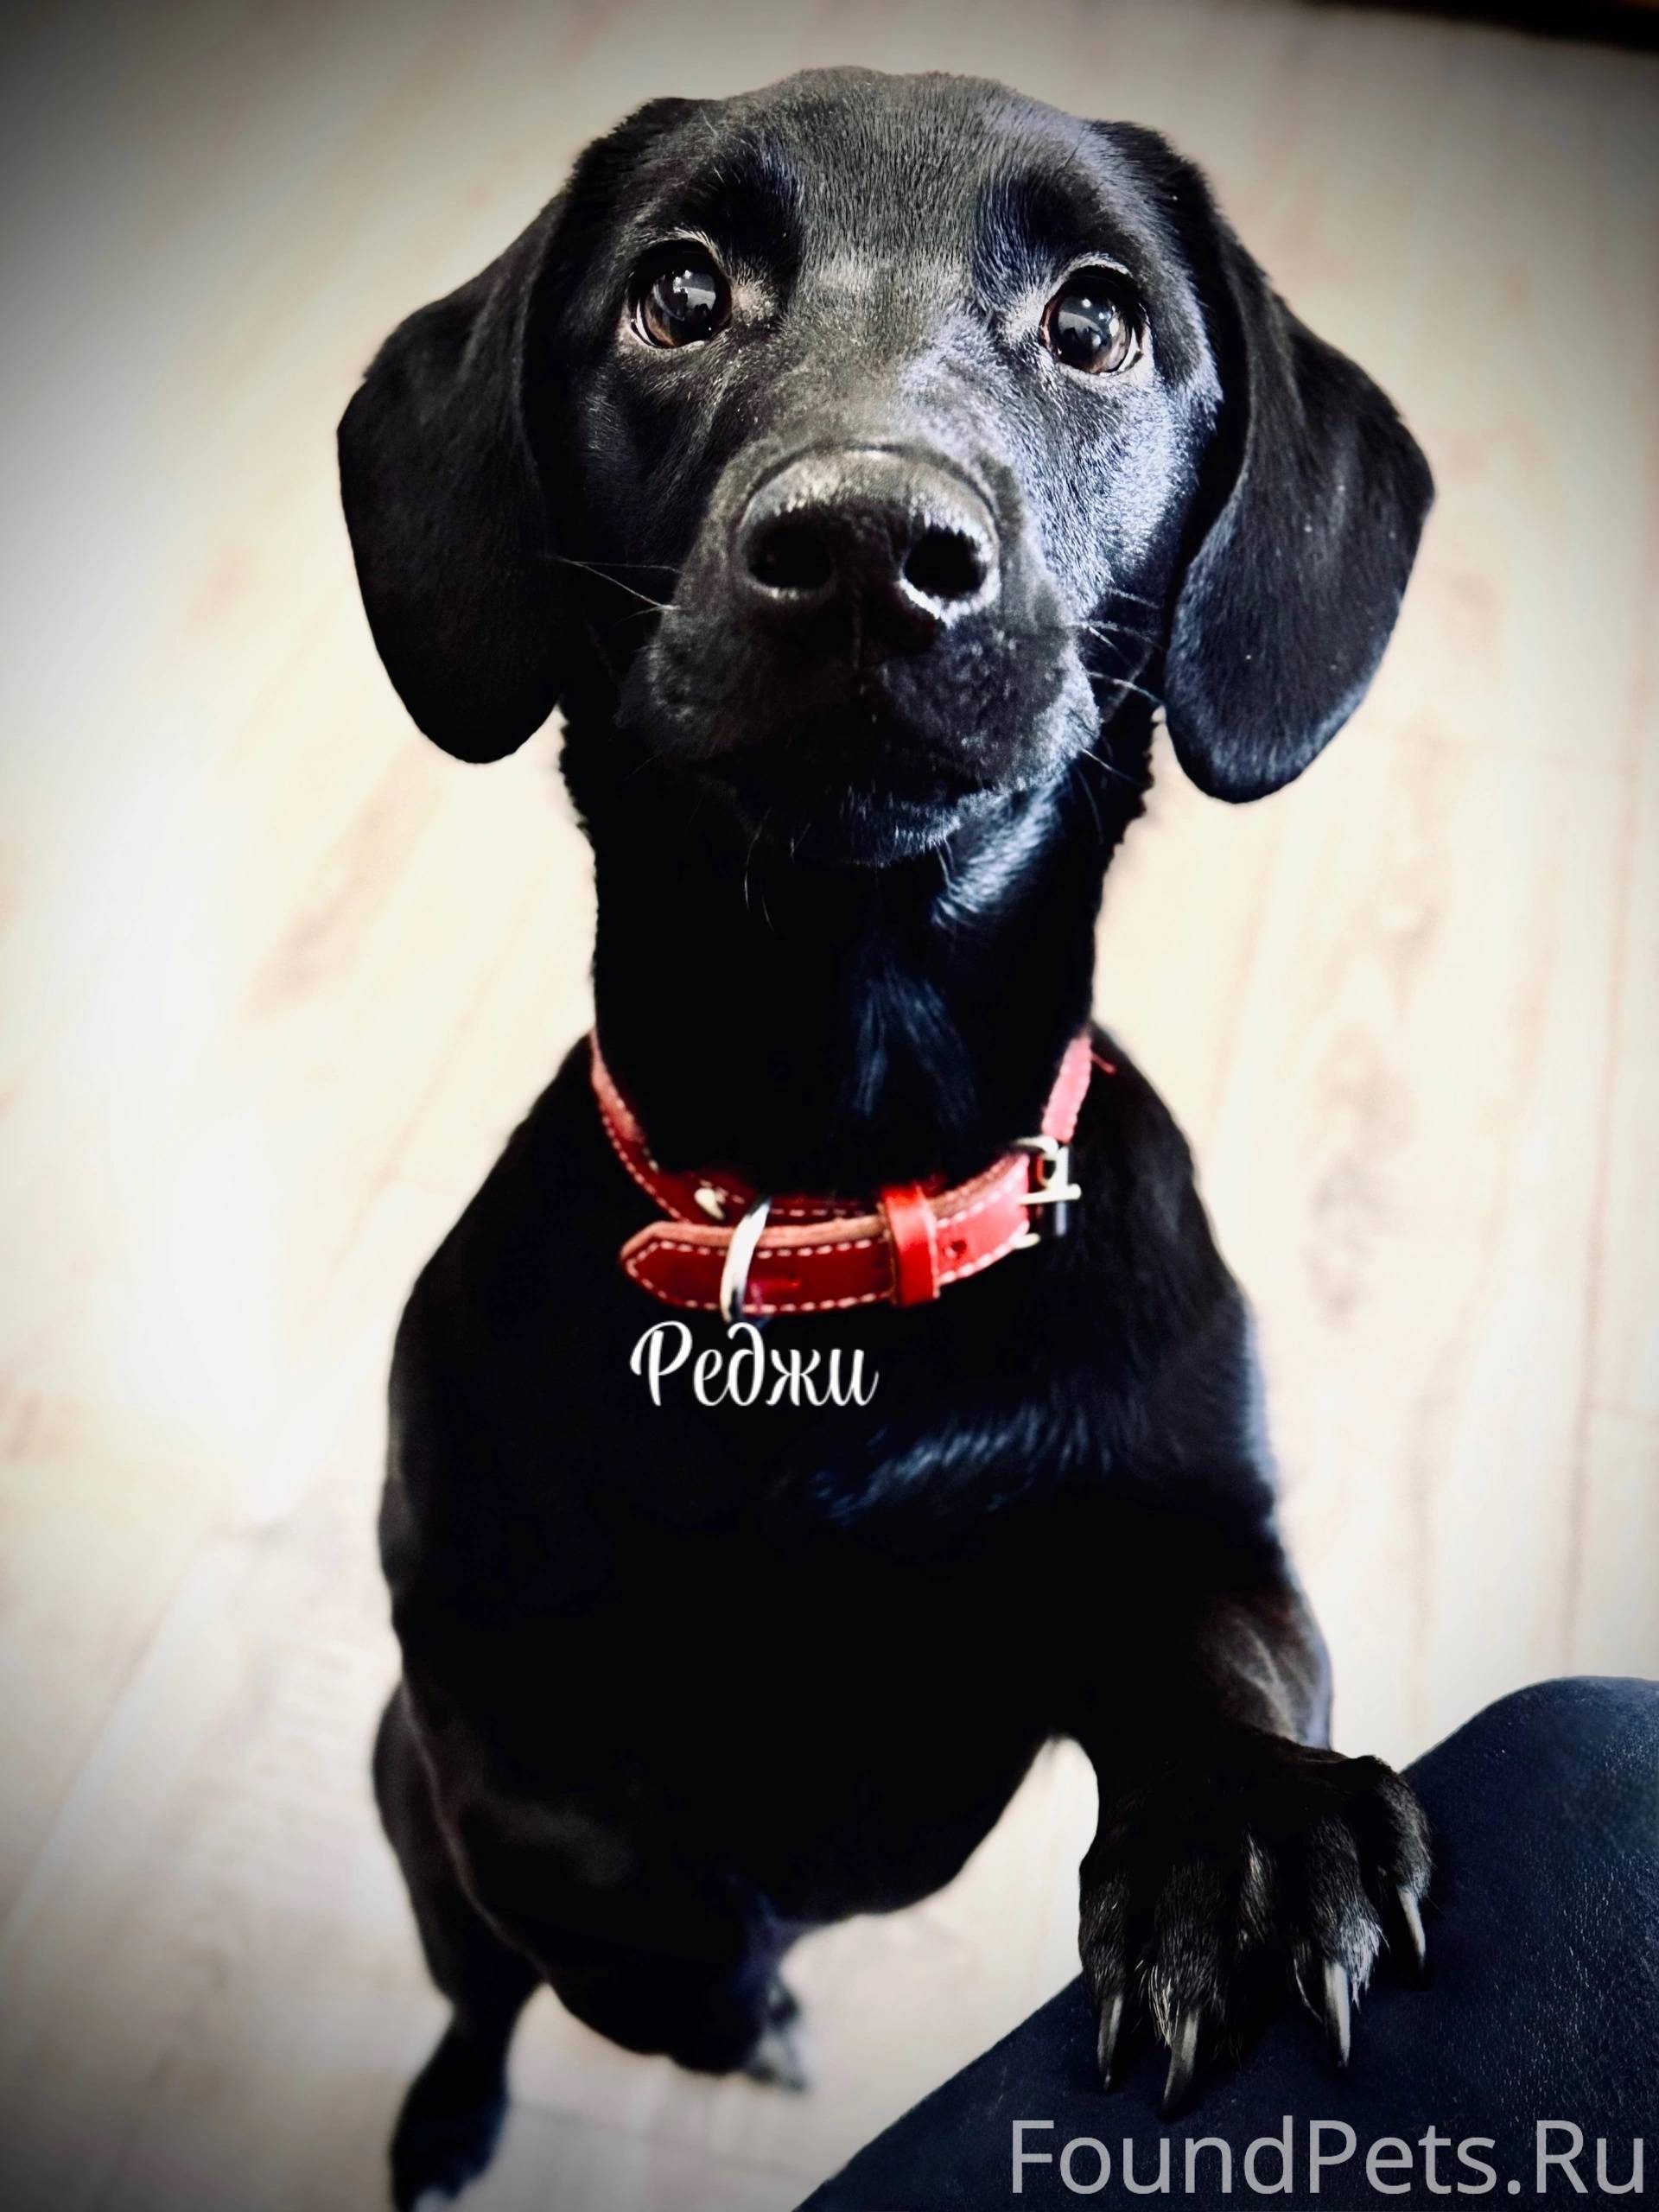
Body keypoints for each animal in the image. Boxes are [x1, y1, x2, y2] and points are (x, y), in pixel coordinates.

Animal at [339, 67, 1434, 2209]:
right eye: (679, 290)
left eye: (1097, 319)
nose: (864, 545)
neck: (829, 1196)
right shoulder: (459, 1672)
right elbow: (593, 1878)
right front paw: (737, 2002)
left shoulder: (1199, 1527)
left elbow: (1229, 1651)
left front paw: (1252, 1840)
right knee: (480, 1980)